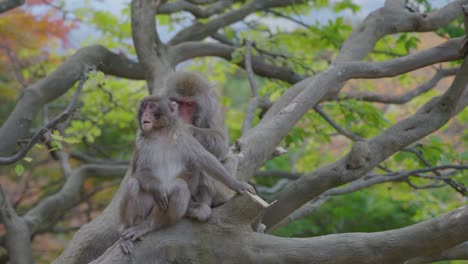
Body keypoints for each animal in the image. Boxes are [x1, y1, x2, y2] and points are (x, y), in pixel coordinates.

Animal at [119, 96, 254, 254]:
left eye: (151, 107)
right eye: (144, 107)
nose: (145, 114)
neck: (160, 133)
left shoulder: (184, 137)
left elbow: (204, 159)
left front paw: (237, 184)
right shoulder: (140, 142)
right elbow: (139, 171)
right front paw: (158, 189)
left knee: (179, 186)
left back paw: (150, 225)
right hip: (144, 210)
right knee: (133, 184)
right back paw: (127, 231)